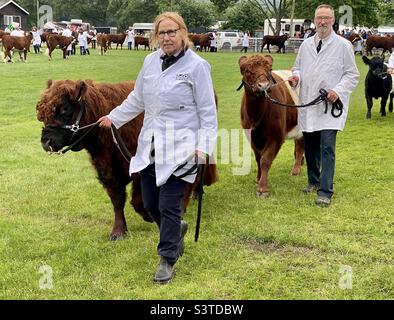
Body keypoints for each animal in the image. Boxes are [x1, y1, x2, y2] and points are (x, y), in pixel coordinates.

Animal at [36, 79, 219, 240]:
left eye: (64, 109)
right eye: (41, 113)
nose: (46, 142)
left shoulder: (138, 169)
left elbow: (137, 200)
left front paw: (149, 216)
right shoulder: (108, 172)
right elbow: (118, 201)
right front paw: (118, 232)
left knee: (191, 179)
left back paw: (184, 204)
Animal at [237, 55, 304, 198]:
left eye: (269, 69)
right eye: (248, 71)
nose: (263, 86)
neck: (256, 116)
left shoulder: (276, 137)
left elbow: (265, 160)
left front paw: (263, 188)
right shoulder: (251, 137)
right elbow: (258, 158)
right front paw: (258, 179)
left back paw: (295, 170)